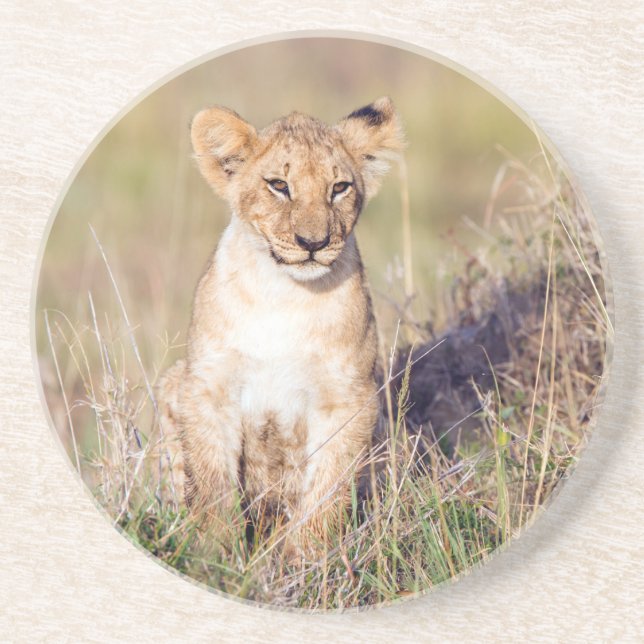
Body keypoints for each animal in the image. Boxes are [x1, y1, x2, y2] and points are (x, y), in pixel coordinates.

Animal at [157, 96, 405, 559]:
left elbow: (326, 489)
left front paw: (306, 561)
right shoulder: (207, 387)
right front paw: (214, 556)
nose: (313, 243)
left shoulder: (348, 398)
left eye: (339, 188)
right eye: (278, 185)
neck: (285, 294)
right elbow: (212, 484)